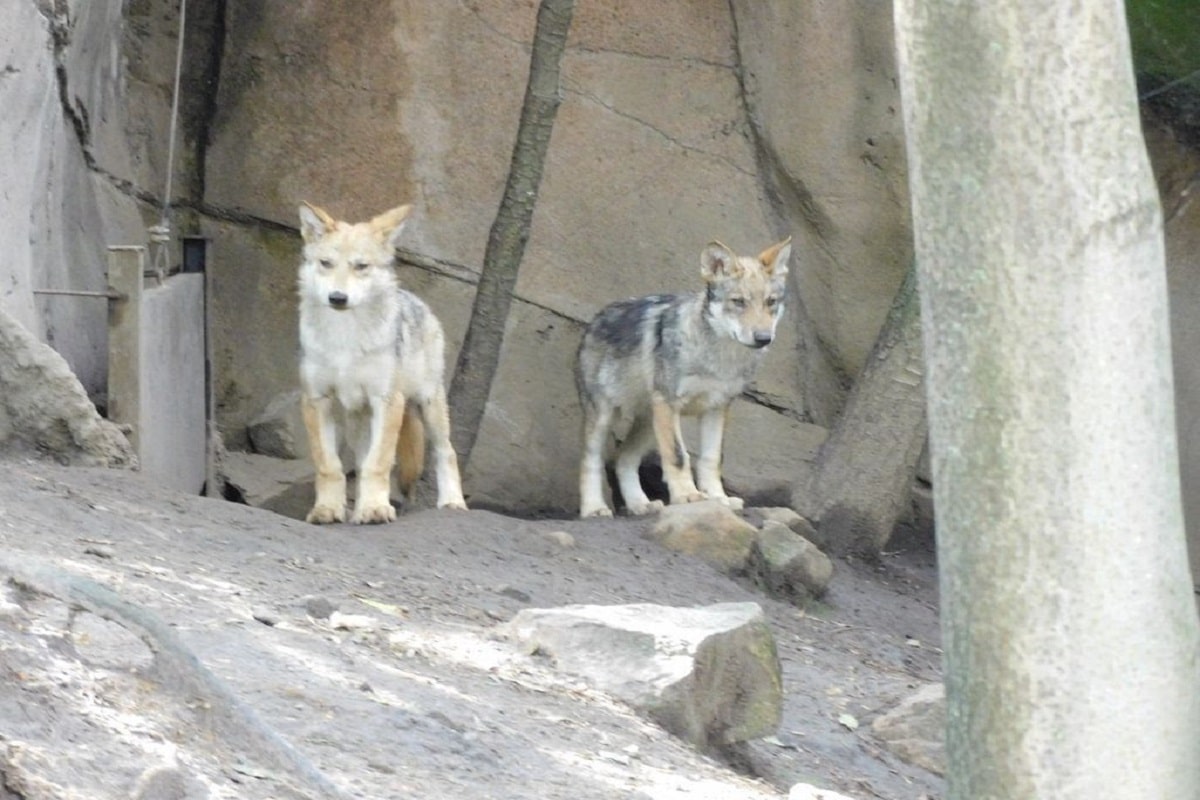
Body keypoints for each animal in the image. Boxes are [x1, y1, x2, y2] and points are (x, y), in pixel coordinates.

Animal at [295, 203, 468, 522]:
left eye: (361, 266)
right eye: (326, 263)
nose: (337, 298)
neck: (345, 338)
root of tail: (413, 299)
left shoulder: (387, 400)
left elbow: (379, 464)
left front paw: (375, 509)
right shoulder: (316, 400)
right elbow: (329, 466)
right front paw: (328, 509)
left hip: (429, 404)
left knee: (445, 451)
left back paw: (452, 502)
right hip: (357, 422)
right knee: (360, 461)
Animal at [573, 236, 792, 520]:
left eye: (770, 302)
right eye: (739, 302)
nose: (764, 338)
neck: (719, 359)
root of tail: (595, 320)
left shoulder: (717, 408)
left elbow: (711, 459)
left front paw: (718, 499)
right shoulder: (670, 404)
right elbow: (678, 456)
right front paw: (688, 496)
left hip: (650, 424)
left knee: (623, 459)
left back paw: (640, 505)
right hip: (605, 417)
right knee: (591, 460)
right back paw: (594, 508)